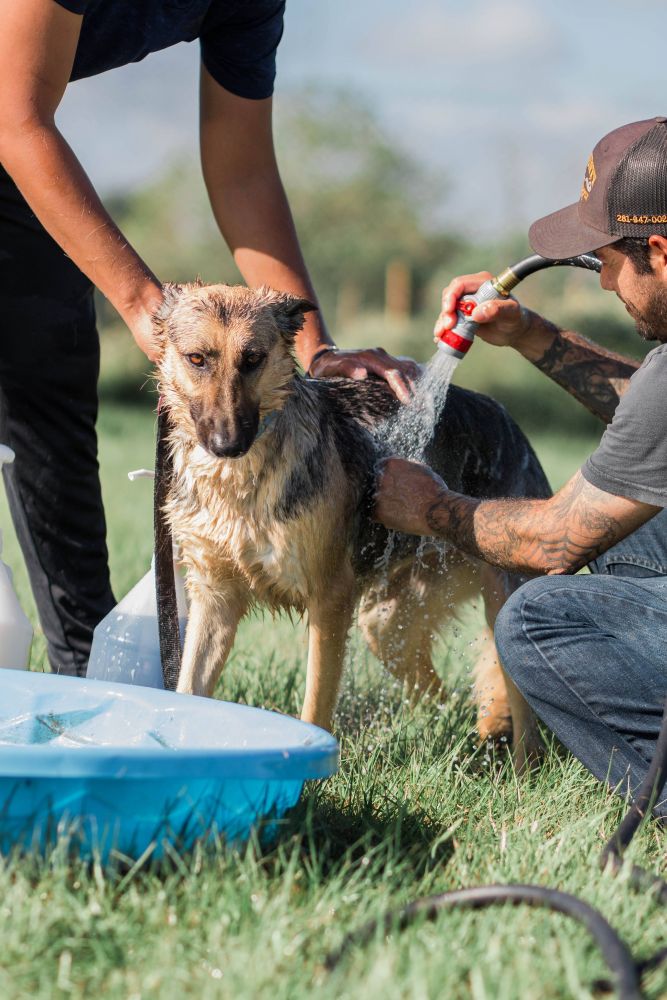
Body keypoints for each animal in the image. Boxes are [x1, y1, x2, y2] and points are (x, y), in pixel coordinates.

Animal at [158, 286, 552, 760]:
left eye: (252, 358)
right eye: (197, 359)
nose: (226, 444)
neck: (237, 483)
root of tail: (513, 425)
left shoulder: (329, 599)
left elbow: (314, 707)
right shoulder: (214, 598)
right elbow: (186, 692)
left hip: (499, 603)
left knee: (522, 715)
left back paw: (519, 764)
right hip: (385, 625)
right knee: (440, 695)